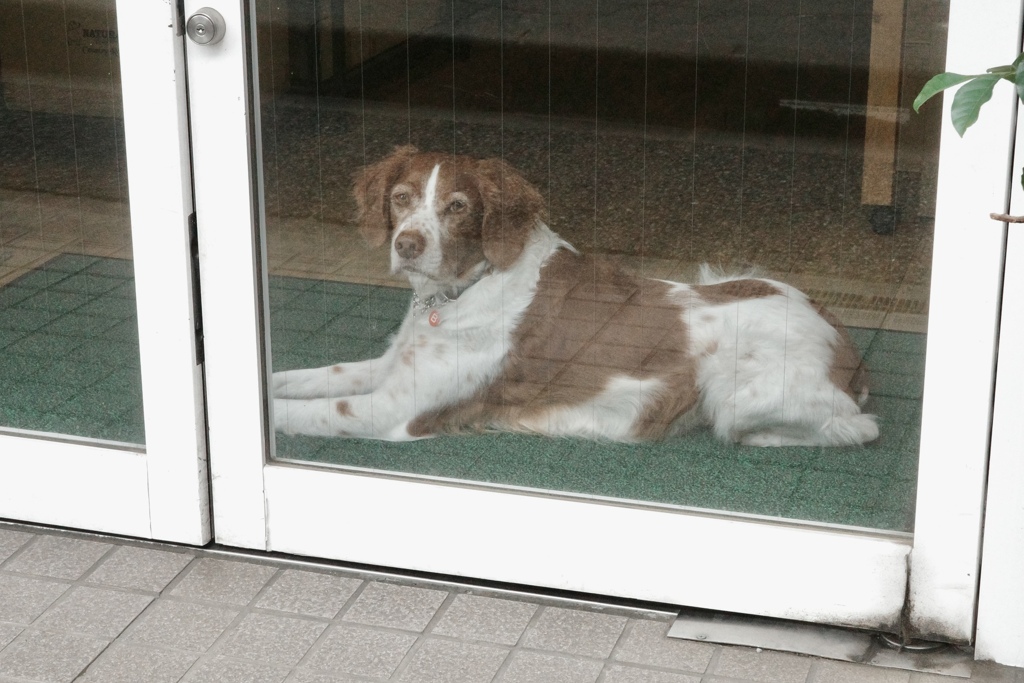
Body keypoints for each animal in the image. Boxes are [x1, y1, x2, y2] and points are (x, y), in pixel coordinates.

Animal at [272, 146, 880, 446]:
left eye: (457, 207)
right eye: (400, 197)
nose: (407, 245)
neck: (463, 289)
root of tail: (846, 345)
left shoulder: (397, 409)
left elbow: (301, 410)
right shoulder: (390, 369)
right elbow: (305, 378)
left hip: (735, 399)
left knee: (855, 428)